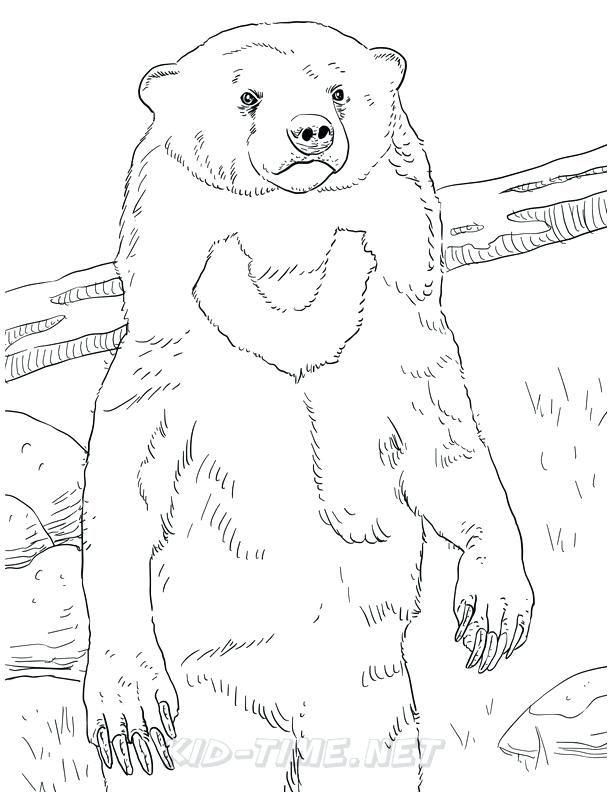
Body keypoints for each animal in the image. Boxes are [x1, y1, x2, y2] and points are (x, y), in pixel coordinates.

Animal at [82, 21, 534, 791]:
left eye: (340, 89)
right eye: (248, 95)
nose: (311, 130)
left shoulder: (402, 339)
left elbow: (447, 453)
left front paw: (491, 614)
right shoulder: (167, 357)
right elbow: (125, 485)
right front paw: (129, 702)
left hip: (369, 694)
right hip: (217, 695)